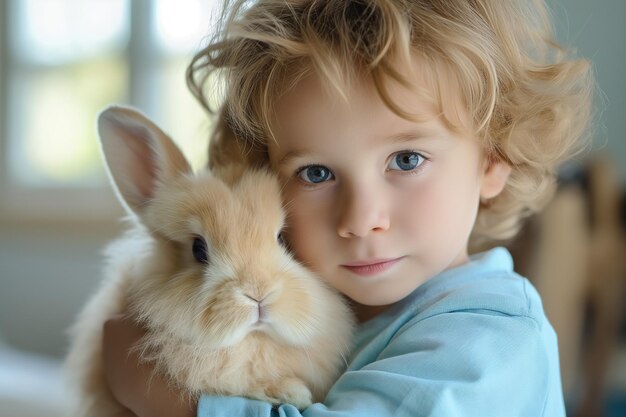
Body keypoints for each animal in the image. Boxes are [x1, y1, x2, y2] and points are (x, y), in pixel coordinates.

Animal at [66, 106, 356, 416]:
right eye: (198, 249)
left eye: (282, 239)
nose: (258, 294)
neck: (251, 342)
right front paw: (292, 391)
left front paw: (293, 392)